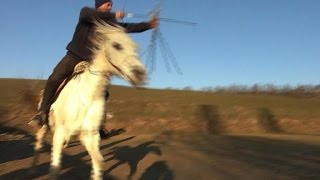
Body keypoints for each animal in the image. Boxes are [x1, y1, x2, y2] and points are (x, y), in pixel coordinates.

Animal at [31, 20, 147, 179]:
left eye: (135, 48)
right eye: (117, 45)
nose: (140, 74)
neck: (87, 97)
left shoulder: (90, 137)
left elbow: (98, 162)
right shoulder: (59, 133)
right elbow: (55, 168)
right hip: (44, 125)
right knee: (39, 141)